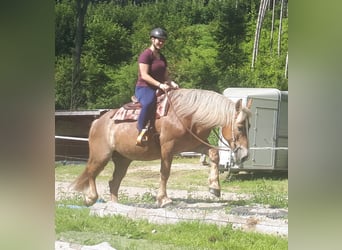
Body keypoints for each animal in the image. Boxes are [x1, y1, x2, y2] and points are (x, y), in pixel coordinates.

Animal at [71, 88, 252, 207]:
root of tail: (98, 121)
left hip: (123, 160)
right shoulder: (167, 148)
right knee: (91, 173)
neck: (186, 116)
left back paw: (115, 205)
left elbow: (214, 154)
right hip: (101, 156)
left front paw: (215, 188)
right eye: (240, 127)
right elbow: (165, 173)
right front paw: (163, 199)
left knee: (113, 181)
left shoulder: (195, 144)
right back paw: (91, 198)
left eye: (249, 126)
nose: (245, 155)